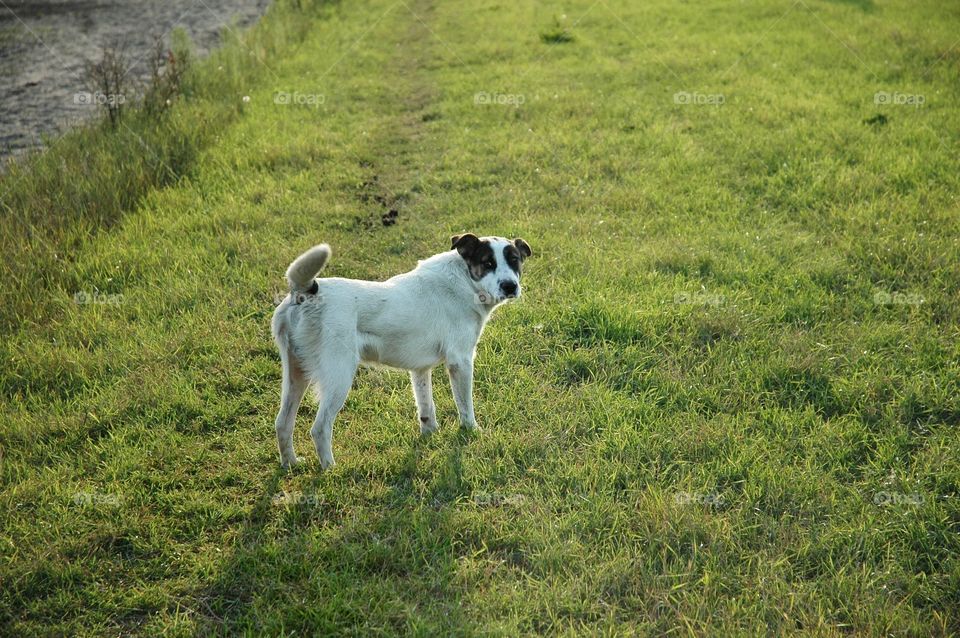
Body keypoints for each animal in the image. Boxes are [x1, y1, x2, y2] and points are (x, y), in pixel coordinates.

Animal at [270, 235, 532, 470]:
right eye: (488, 263)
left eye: (514, 261)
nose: (510, 286)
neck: (465, 280)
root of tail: (305, 292)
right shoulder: (461, 362)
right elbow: (465, 406)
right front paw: (472, 432)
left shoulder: (420, 370)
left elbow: (426, 409)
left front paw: (430, 437)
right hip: (338, 375)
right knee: (320, 427)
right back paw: (330, 469)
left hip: (295, 375)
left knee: (283, 423)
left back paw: (290, 464)